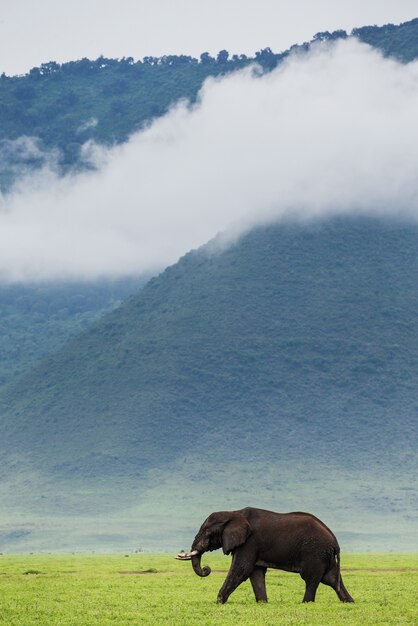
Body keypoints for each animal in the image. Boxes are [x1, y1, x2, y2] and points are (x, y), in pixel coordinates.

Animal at [176, 504, 352, 604]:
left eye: (207, 532)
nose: (207, 569)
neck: (233, 513)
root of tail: (335, 541)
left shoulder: (249, 542)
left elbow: (241, 569)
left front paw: (219, 602)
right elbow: (255, 573)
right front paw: (262, 603)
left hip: (314, 552)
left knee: (311, 578)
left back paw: (305, 603)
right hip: (324, 555)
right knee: (330, 579)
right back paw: (349, 601)